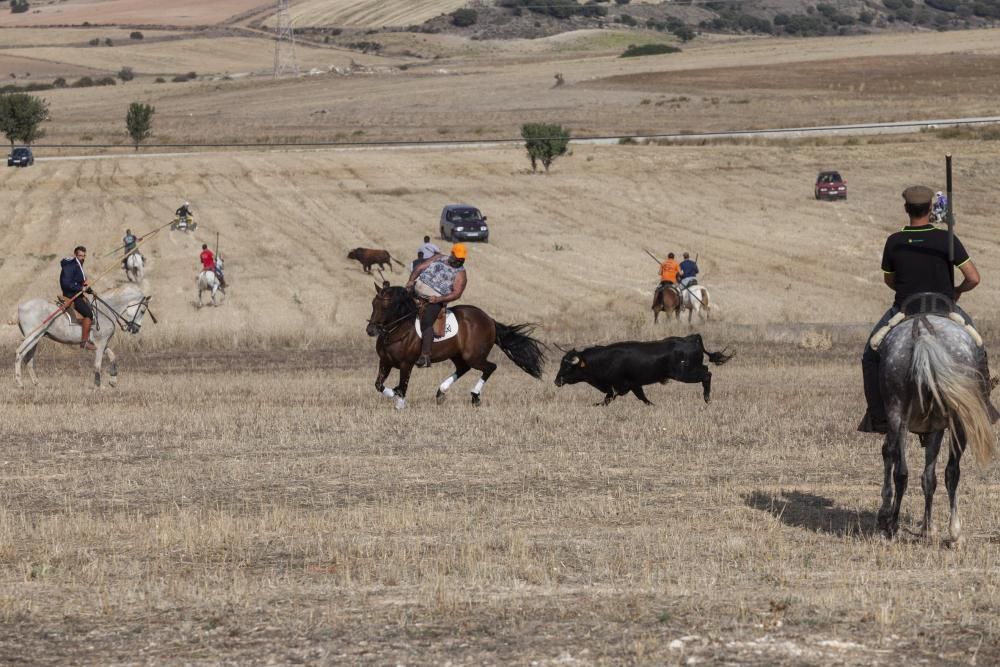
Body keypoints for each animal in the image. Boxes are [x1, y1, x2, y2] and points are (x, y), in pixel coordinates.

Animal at [15, 284, 152, 388]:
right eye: (142, 311)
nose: (135, 329)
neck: (105, 310)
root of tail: (20, 307)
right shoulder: (100, 343)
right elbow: (97, 364)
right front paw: (98, 385)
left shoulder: (102, 343)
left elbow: (113, 356)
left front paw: (113, 380)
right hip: (32, 337)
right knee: (19, 354)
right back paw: (20, 383)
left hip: (36, 339)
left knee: (29, 360)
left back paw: (37, 384)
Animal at [366, 286, 544, 410]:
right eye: (373, 304)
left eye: (386, 306)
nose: (370, 330)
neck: (397, 330)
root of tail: (489, 320)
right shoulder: (385, 362)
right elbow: (378, 385)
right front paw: (393, 392)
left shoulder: (406, 364)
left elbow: (403, 385)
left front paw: (398, 402)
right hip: (458, 355)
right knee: (463, 368)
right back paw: (441, 392)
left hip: (474, 357)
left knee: (490, 367)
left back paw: (475, 396)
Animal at [556, 336, 736, 404]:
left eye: (568, 366)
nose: (556, 381)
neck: (605, 359)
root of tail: (690, 338)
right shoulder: (635, 385)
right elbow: (643, 398)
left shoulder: (617, 387)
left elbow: (606, 400)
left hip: (686, 373)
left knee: (707, 374)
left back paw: (707, 398)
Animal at [876, 310, 992, 544]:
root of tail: (922, 330)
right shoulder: (935, 429)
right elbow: (930, 477)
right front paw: (927, 528)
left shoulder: (916, 427)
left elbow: (897, 461)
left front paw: (888, 516)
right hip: (957, 420)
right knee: (951, 472)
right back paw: (955, 531)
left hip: (898, 416)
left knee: (902, 472)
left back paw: (893, 525)